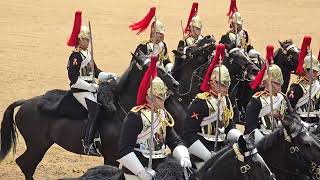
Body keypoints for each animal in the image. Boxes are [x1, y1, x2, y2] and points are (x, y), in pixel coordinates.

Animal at [0, 56, 180, 179]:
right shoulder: (112, 156)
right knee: (26, 165)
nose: (175, 84)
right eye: (153, 68)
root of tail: (25, 102)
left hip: (40, 145)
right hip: (37, 145)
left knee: (26, 164)